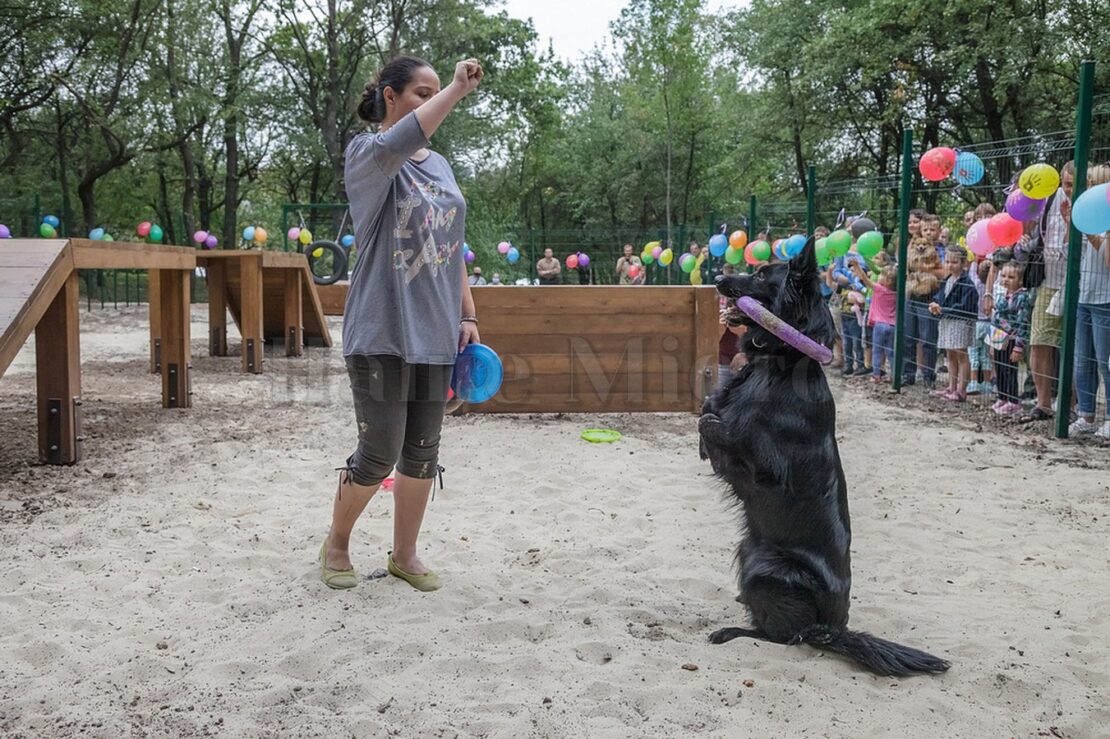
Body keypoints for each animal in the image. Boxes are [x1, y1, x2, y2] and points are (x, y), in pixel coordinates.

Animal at [701, 238, 945, 674]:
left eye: (761, 274)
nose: (716, 278)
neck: (778, 364)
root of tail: (834, 627)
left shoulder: (762, 468)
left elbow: (714, 424)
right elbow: (707, 412)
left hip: (766, 570)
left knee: (785, 636)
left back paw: (732, 632)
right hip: (749, 550)